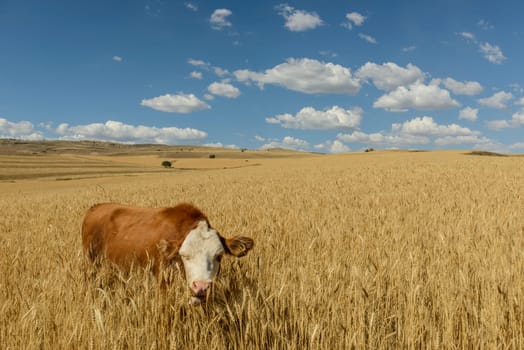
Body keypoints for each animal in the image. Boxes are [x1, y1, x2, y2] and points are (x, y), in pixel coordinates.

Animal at [81, 202, 254, 304]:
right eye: (185, 256)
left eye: (218, 256)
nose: (201, 287)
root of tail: (96, 206)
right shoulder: (163, 281)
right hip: (92, 266)